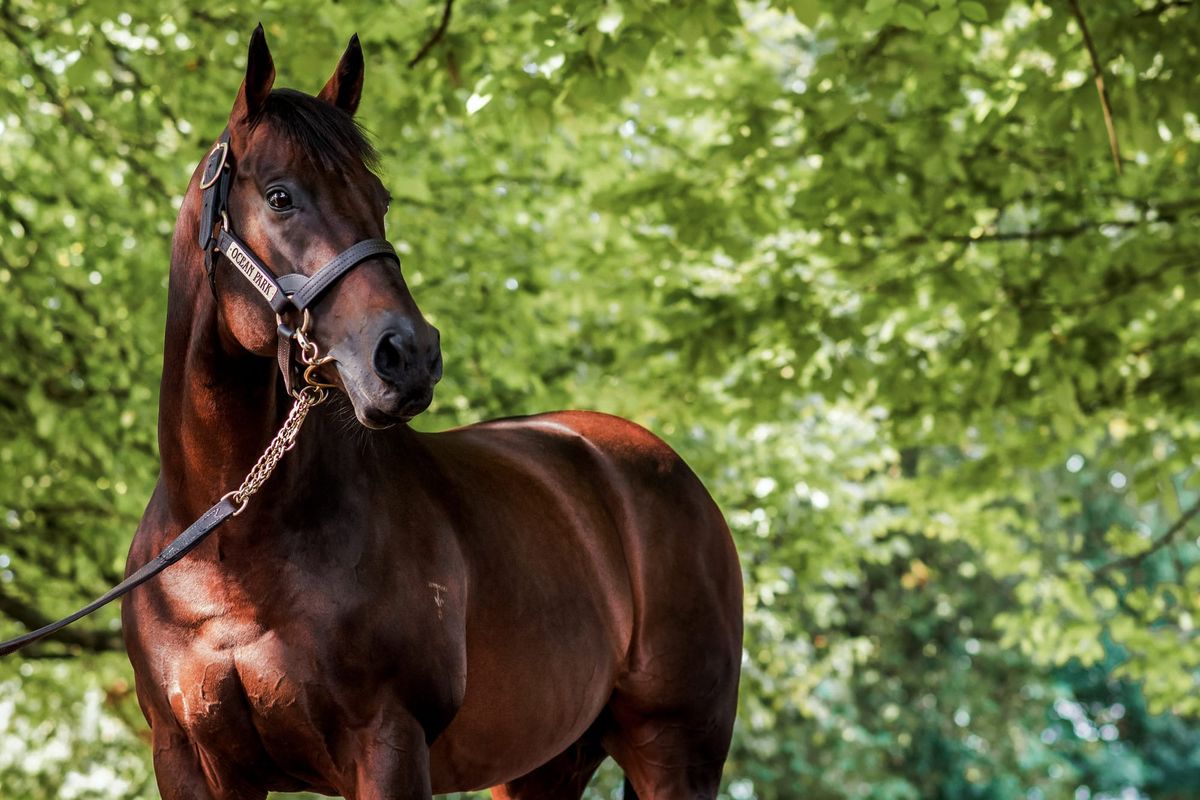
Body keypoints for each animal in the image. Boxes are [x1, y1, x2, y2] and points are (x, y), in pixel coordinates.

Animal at [122, 26, 742, 800]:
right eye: (280, 196)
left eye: (380, 198)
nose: (408, 355)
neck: (228, 546)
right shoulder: (190, 760)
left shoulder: (388, 743)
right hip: (545, 763)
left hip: (676, 751)